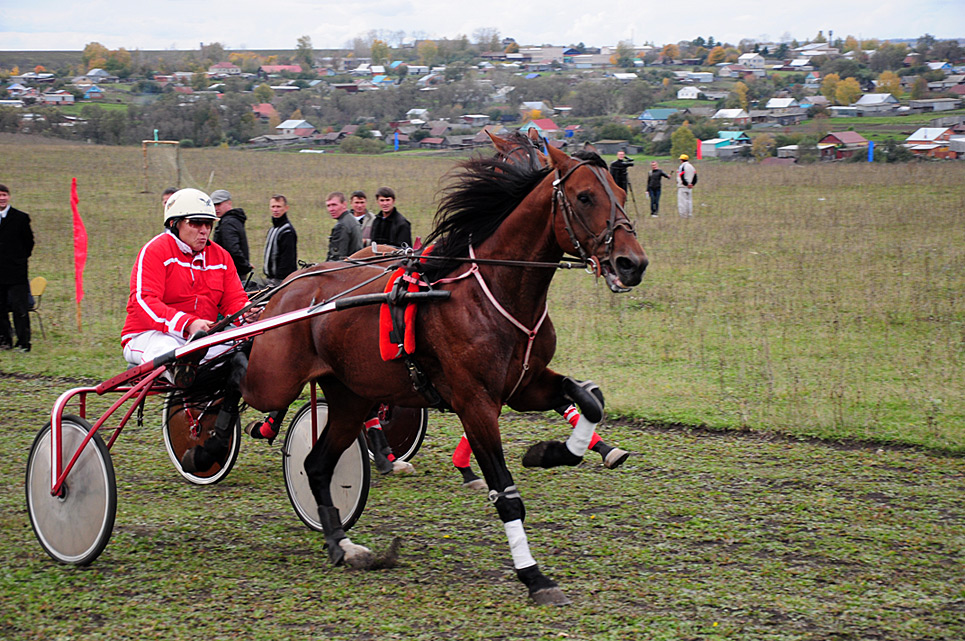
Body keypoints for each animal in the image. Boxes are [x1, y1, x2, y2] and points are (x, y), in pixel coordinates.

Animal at [241, 141, 648, 604]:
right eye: (584, 196)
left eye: (621, 190)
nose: (632, 262)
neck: (491, 293)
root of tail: (289, 285)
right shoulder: (475, 403)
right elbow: (506, 494)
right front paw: (534, 576)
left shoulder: (524, 385)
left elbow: (589, 400)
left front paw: (547, 453)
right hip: (274, 378)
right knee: (237, 386)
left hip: (350, 395)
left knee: (317, 465)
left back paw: (341, 544)